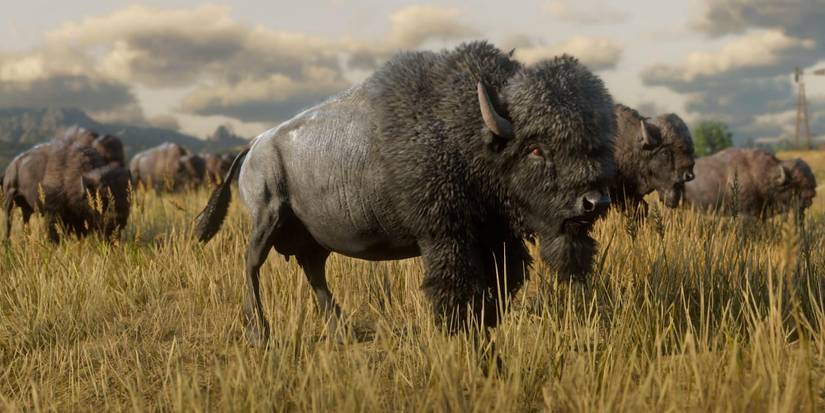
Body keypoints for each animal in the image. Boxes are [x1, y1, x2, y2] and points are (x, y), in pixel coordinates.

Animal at [2, 139, 131, 242]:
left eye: (127, 197)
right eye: (103, 198)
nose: (119, 218)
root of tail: (11, 166)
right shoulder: (53, 214)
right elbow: (54, 234)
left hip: (26, 209)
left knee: (25, 222)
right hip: (9, 199)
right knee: (8, 223)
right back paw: (7, 243)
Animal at [196, 42, 615, 343]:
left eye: (597, 144)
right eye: (536, 148)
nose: (593, 202)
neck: (469, 131)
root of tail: (255, 145)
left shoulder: (496, 239)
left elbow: (500, 283)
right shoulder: (445, 236)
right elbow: (455, 285)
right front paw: (459, 330)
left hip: (312, 236)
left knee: (314, 271)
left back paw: (340, 331)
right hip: (267, 219)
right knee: (252, 264)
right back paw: (260, 333)